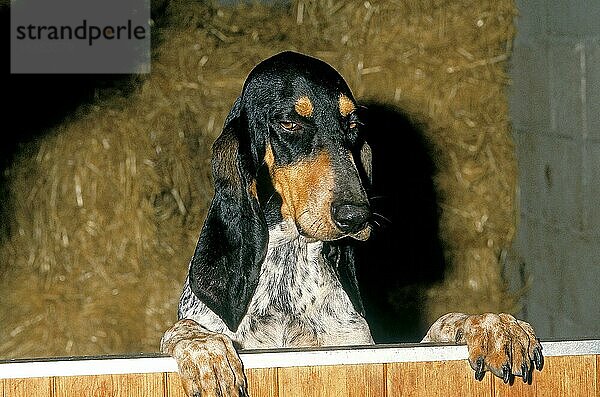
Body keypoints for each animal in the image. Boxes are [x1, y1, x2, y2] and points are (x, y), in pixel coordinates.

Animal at [161, 51, 544, 394]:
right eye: (289, 123)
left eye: (353, 125)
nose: (357, 215)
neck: (289, 258)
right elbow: (182, 329)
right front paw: (205, 350)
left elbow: (446, 322)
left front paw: (494, 326)